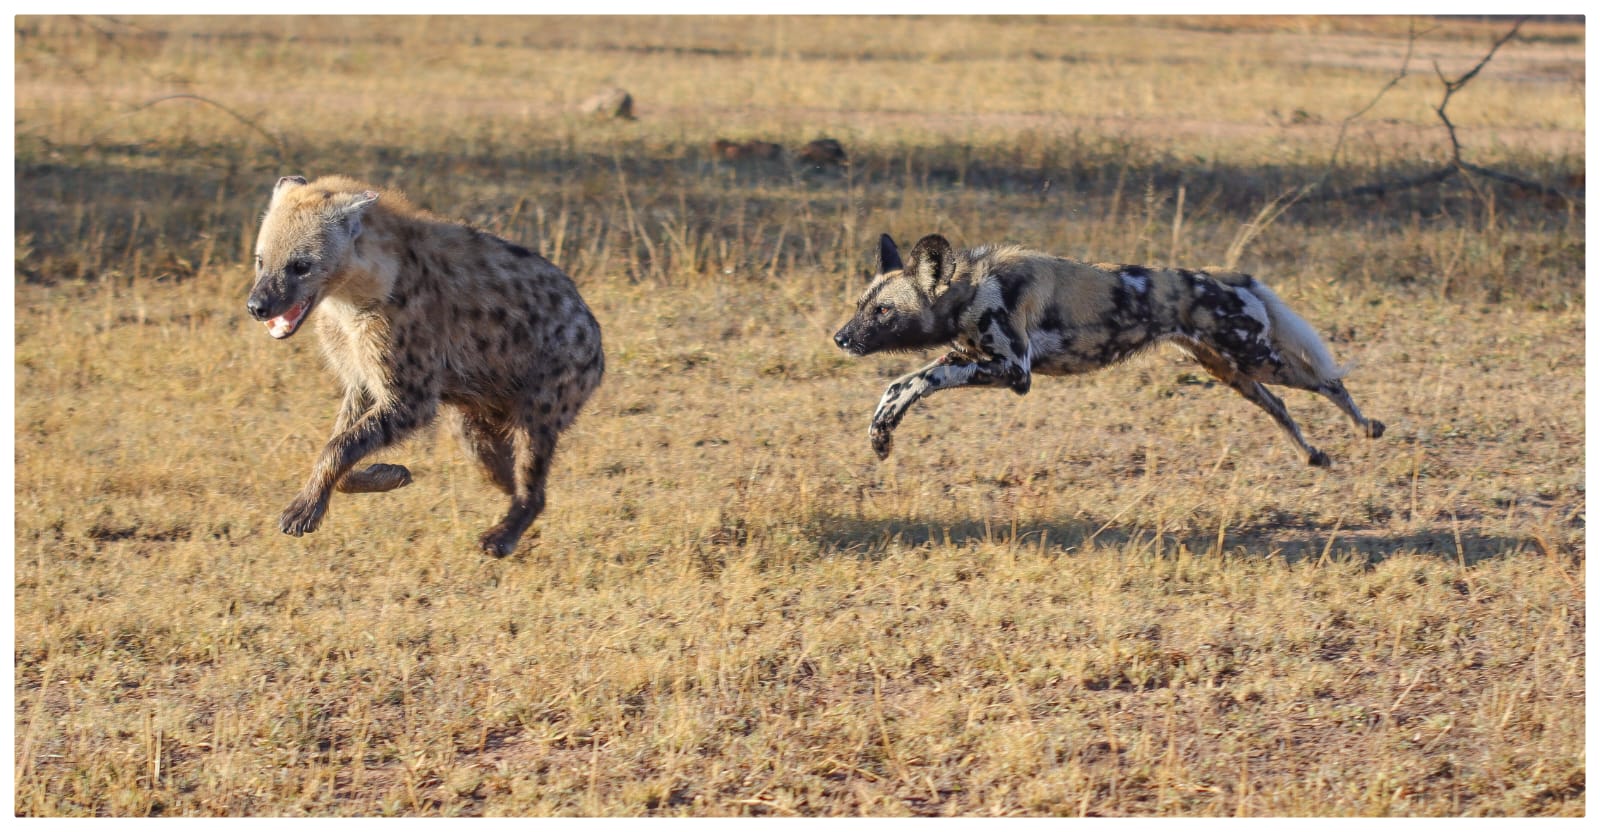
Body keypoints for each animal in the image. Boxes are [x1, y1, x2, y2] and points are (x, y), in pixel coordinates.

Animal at [246, 172, 601, 556]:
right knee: (489, 455)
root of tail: (595, 336)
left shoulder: (410, 390)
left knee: (533, 468)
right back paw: (505, 489)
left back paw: (501, 535)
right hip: (474, 413)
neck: (350, 300)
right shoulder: (362, 373)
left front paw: (300, 514)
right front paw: (389, 474)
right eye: (261, 260)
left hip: (553, 389)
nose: (257, 306)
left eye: (301, 266)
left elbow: (340, 444)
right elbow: (343, 437)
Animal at [832, 233, 1382, 467]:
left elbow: (919, 380)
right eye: (861, 306)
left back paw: (1368, 427)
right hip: (1231, 372)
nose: (840, 337)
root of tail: (1230, 276)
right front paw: (881, 434)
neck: (970, 289)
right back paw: (1313, 454)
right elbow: (900, 384)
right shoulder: (971, 359)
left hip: (1256, 358)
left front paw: (885, 431)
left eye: (883, 311)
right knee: (1282, 405)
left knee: (1328, 381)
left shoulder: (1012, 372)